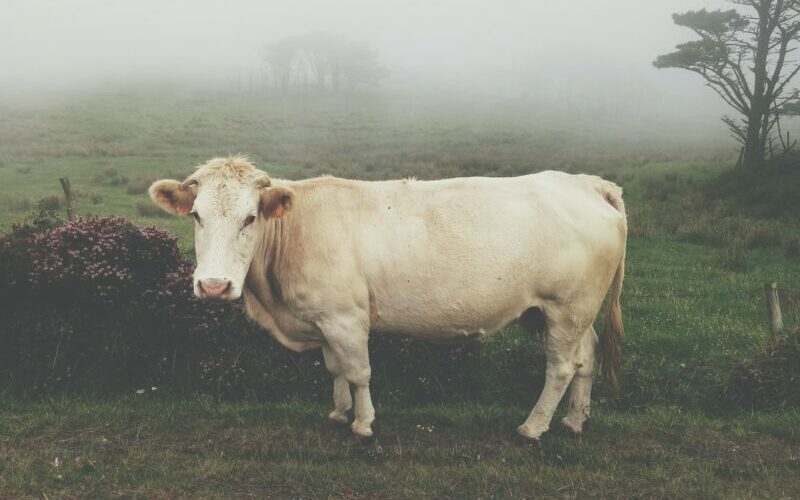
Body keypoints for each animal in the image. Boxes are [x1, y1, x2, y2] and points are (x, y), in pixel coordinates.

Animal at [149, 155, 626, 440]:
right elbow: (335, 368)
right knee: (586, 358)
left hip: (566, 307)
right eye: (196, 215)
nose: (214, 286)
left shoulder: (345, 319)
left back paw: (533, 426)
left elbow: (359, 372)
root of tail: (585, 183)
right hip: (567, 313)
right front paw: (339, 412)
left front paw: (362, 423)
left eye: (250, 218)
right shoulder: (325, 320)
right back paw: (574, 419)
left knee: (561, 367)